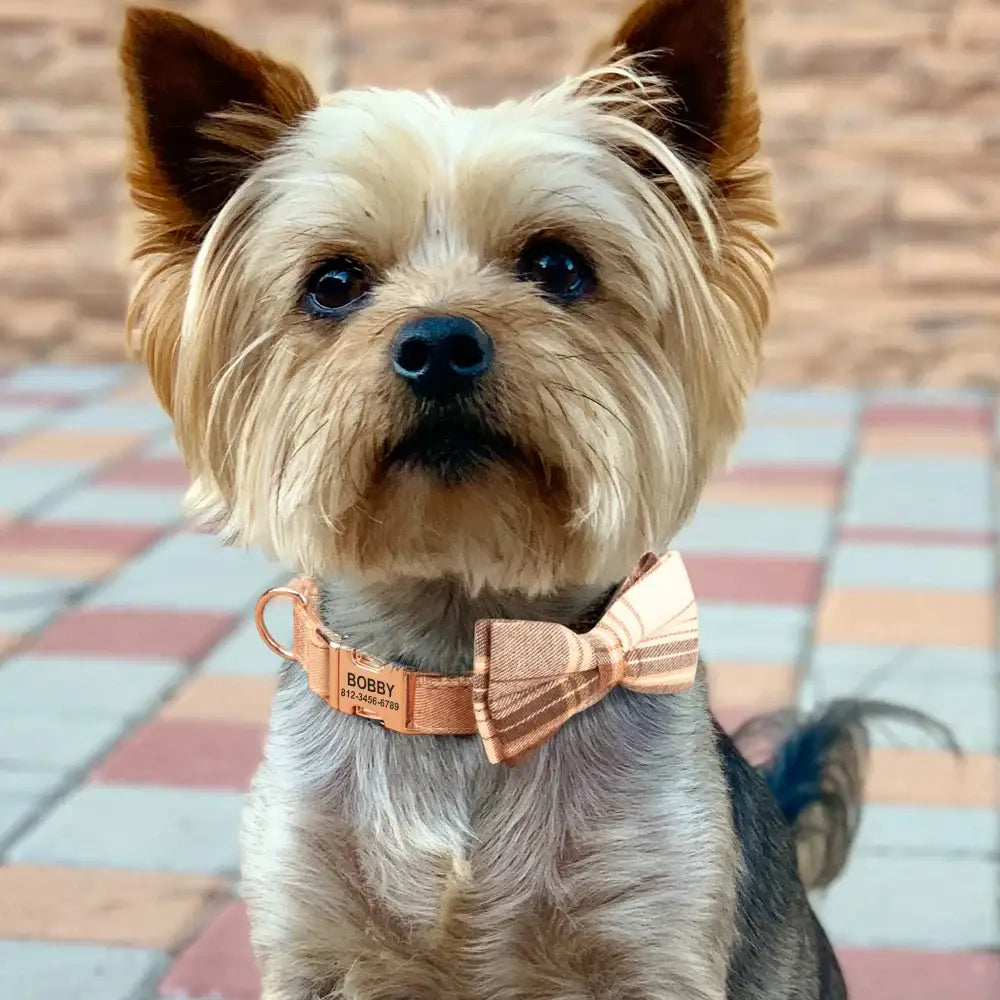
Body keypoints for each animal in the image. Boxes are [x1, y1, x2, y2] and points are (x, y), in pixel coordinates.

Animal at [119, 3, 892, 996]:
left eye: (558, 266)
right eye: (332, 284)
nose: (439, 343)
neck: (468, 680)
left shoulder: (653, 926)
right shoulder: (308, 933)